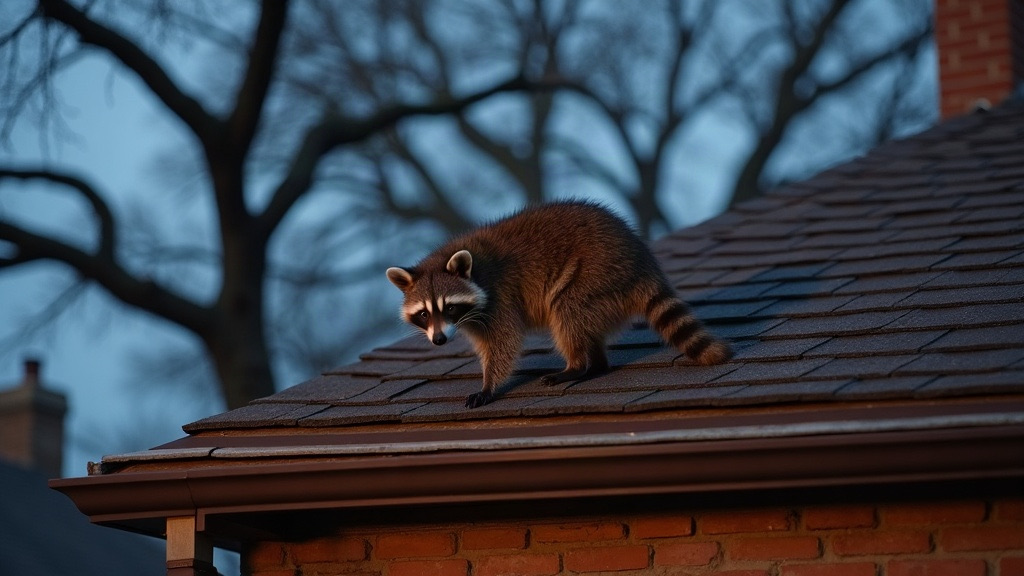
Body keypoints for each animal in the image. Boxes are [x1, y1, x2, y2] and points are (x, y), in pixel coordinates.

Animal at [386, 201, 732, 408]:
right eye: (423, 313)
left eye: (449, 307)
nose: (439, 340)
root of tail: (642, 262)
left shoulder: (499, 298)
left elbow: (503, 343)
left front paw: (489, 386)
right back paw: (596, 364)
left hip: (596, 273)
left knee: (568, 312)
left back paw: (577, 365)